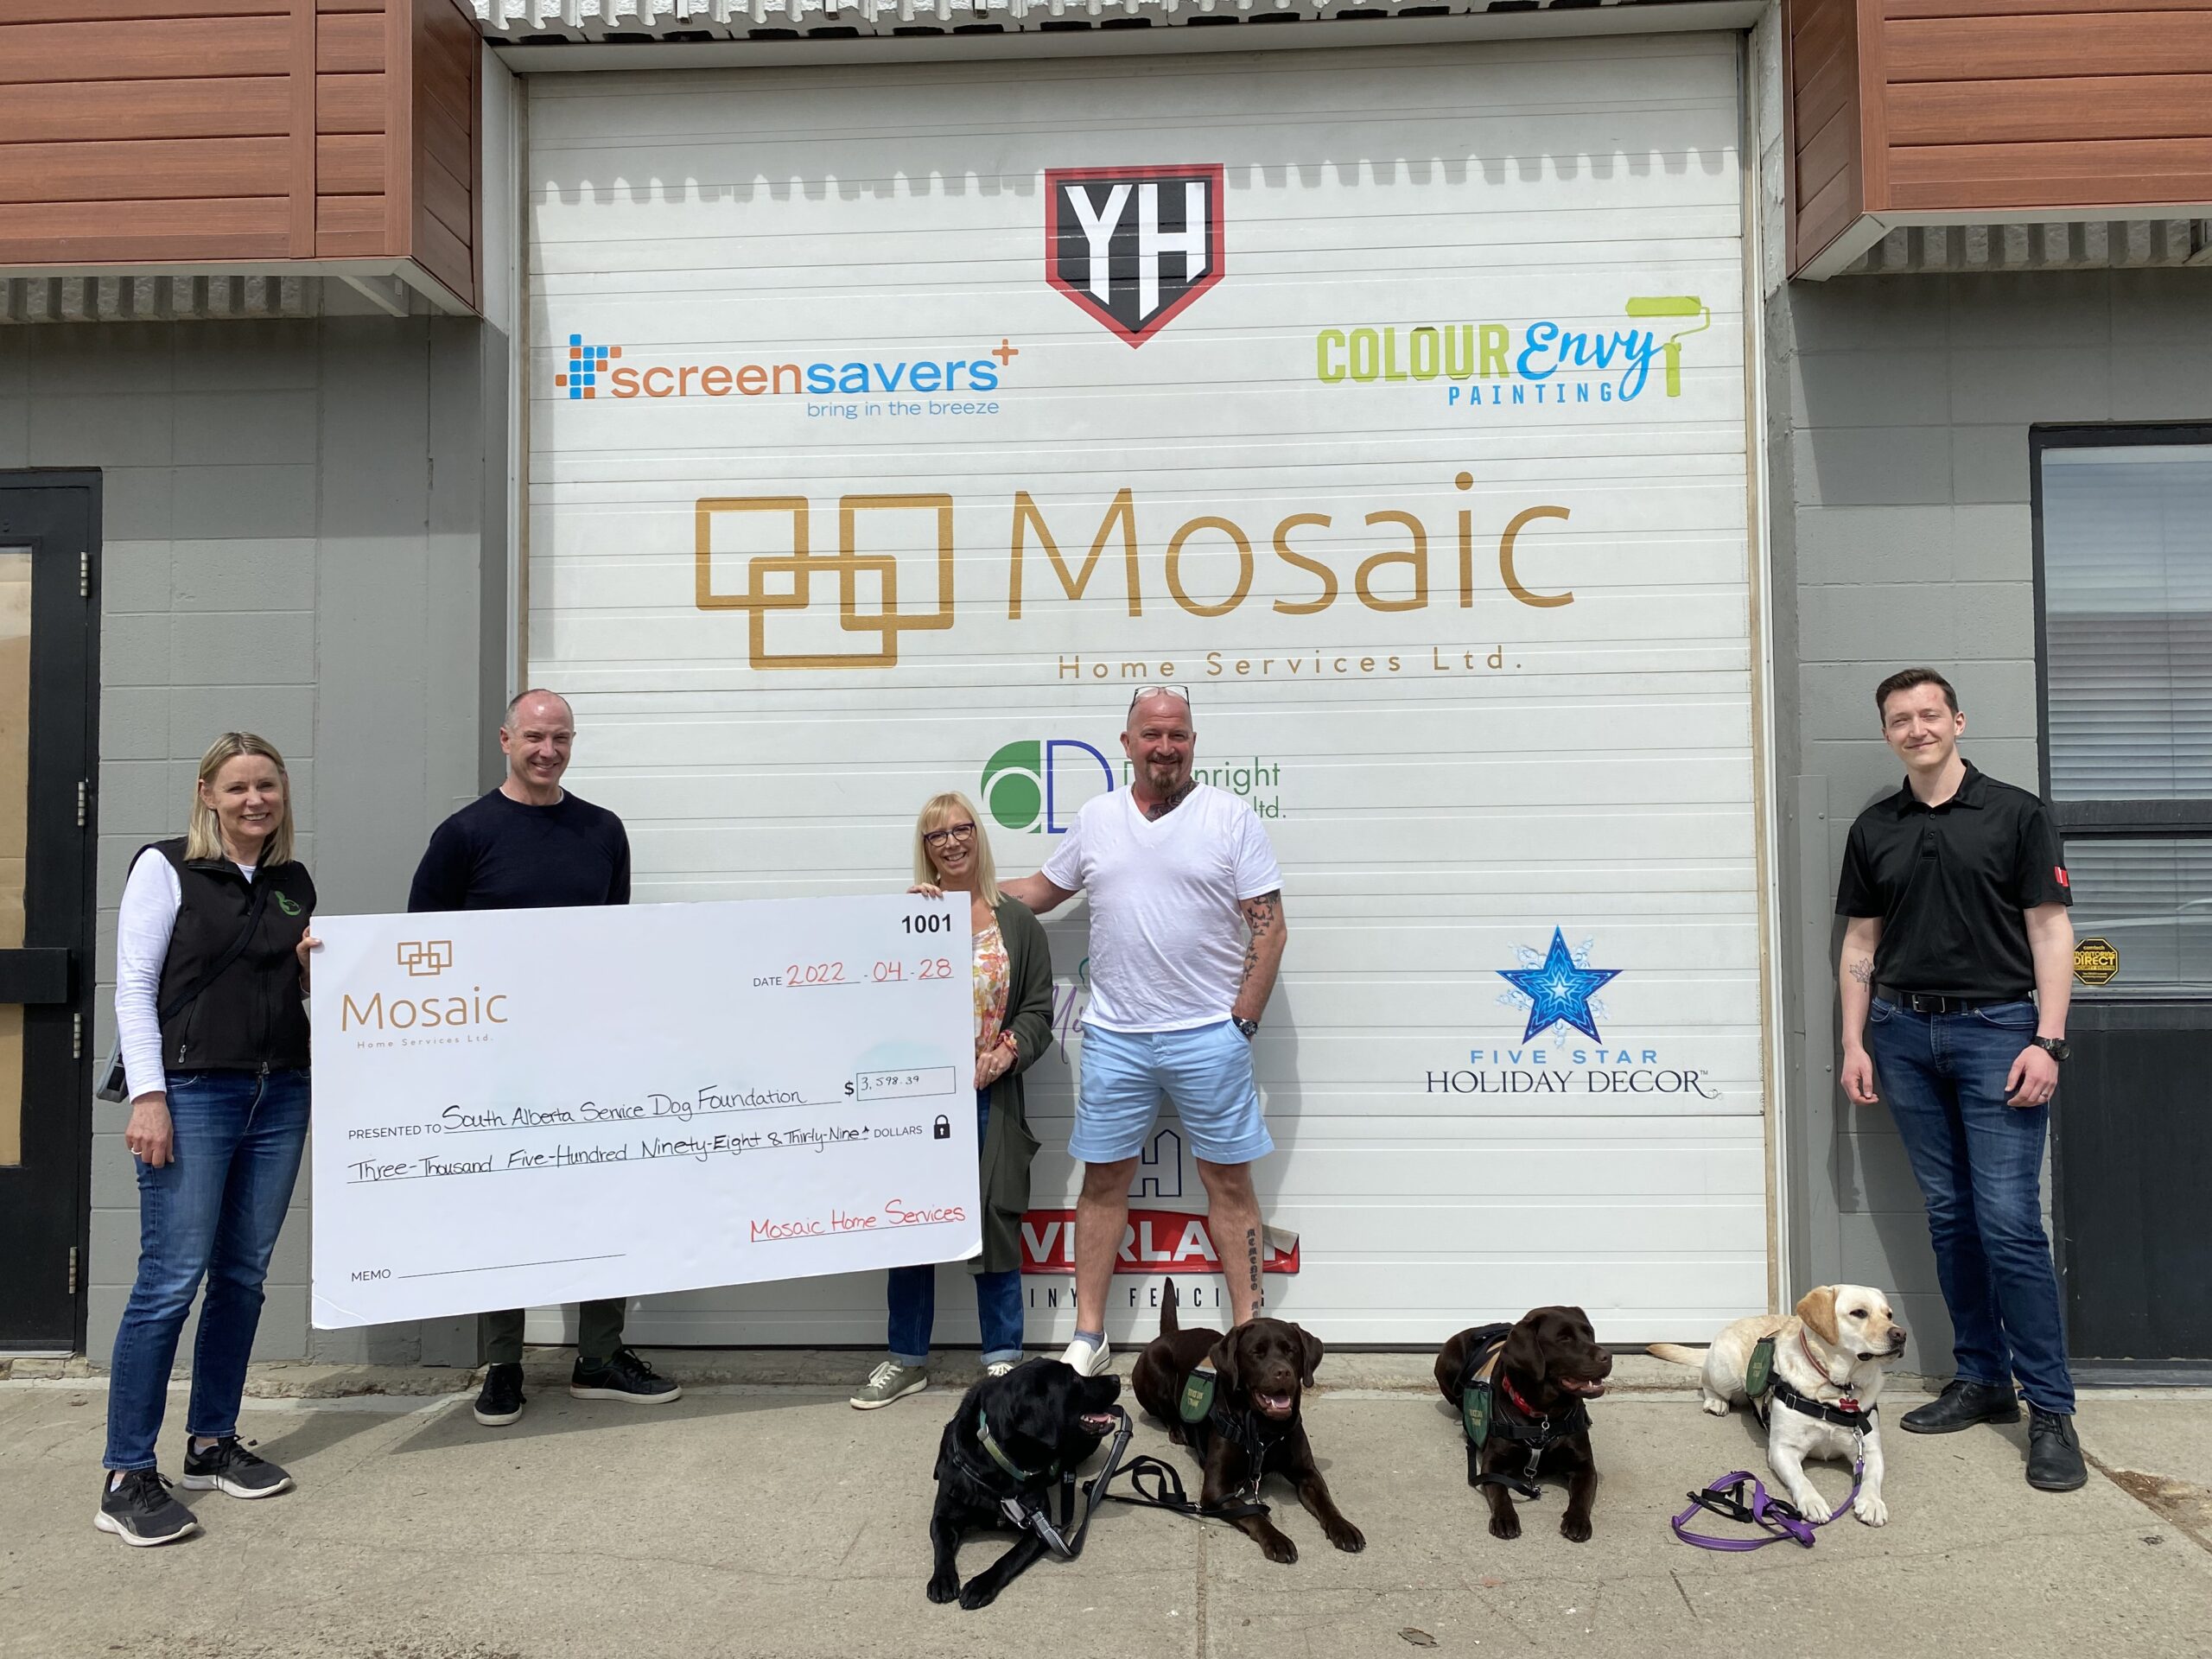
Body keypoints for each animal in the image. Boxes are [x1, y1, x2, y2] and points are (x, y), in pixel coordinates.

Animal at [925, 1362, 1123, 1610]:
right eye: (1074, 1379)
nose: (1117, 1378)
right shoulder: (943, 1517)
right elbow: (942, 1548)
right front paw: (942, 1579)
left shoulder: (1044, 1529)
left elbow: (1009, 1558)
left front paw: (981, 1585)